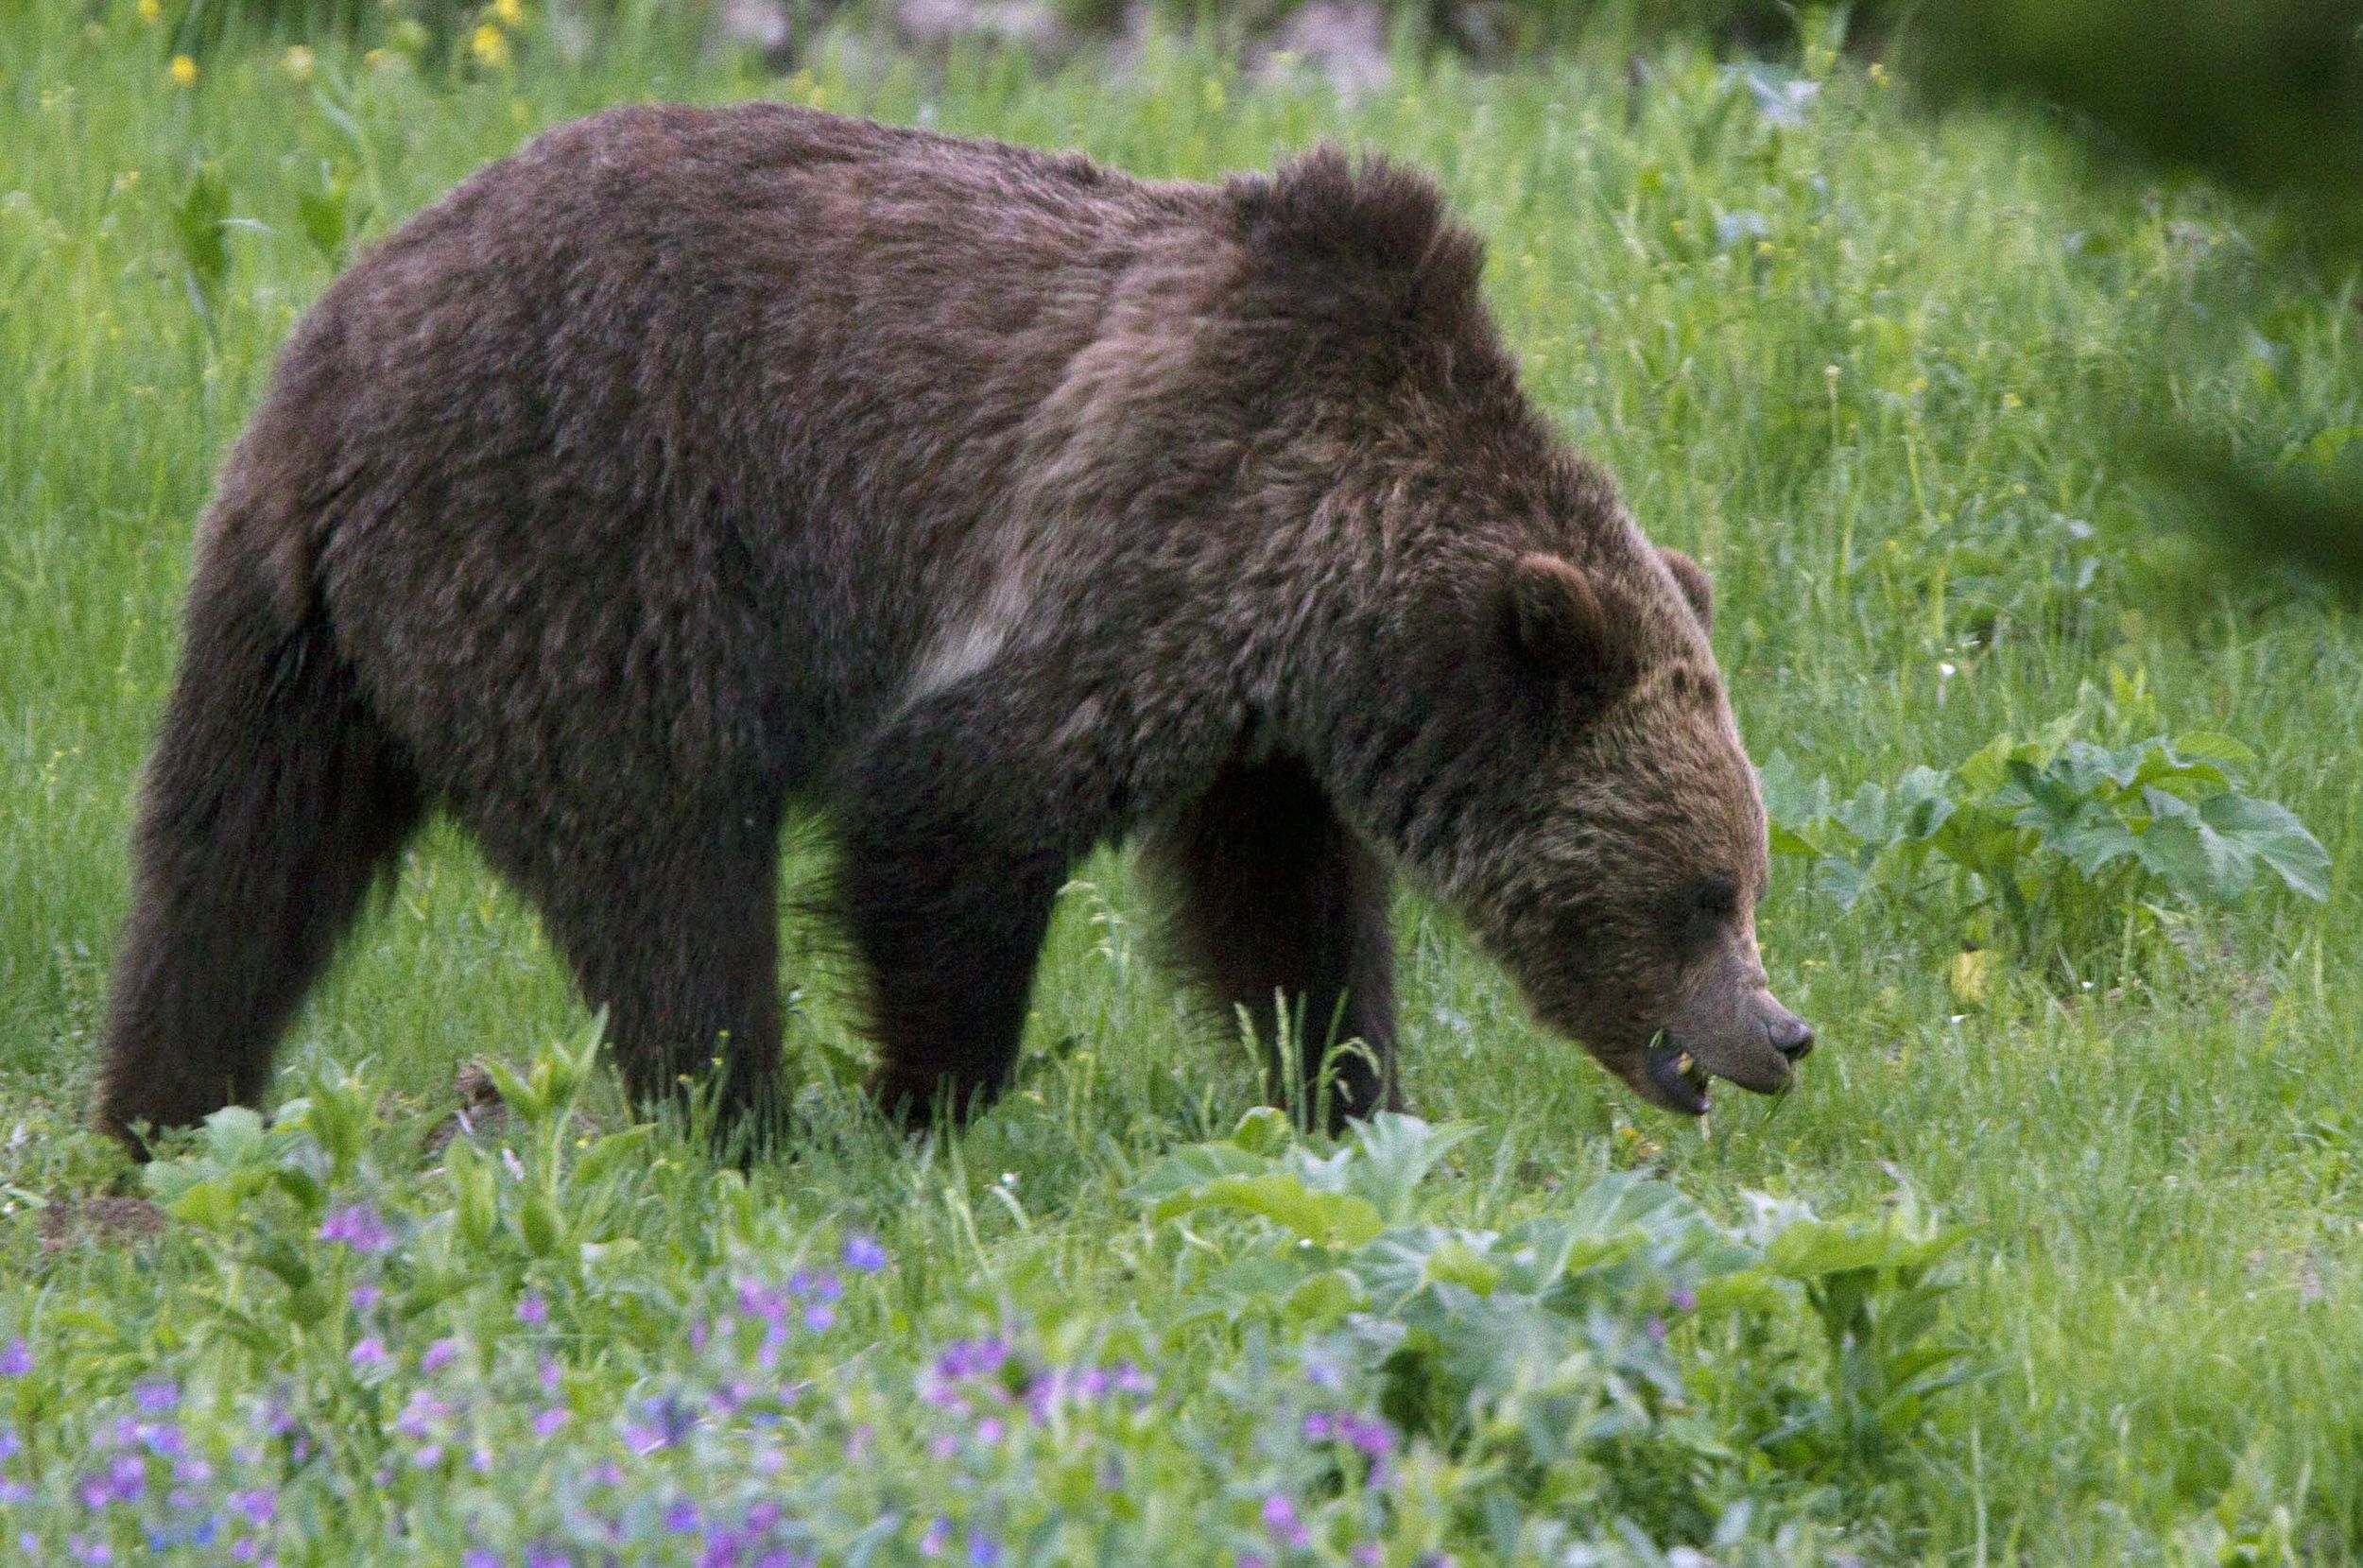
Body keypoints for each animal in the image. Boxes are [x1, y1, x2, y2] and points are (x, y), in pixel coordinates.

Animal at [96, 100, 1805, 1152]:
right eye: (1701, 890)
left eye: (1745, 873)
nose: (1781, 1031)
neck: (1333, 578)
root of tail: (332, 362)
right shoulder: (1146, 532)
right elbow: (953, 808)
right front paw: (930, 1101)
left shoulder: (1260, 717)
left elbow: (1283, 906)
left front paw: (1350, 1088)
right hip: (583, 557)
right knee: (668, 870)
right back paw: (746, 1120)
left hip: (299, 636)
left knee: (233, 868)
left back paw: (159, 1116)